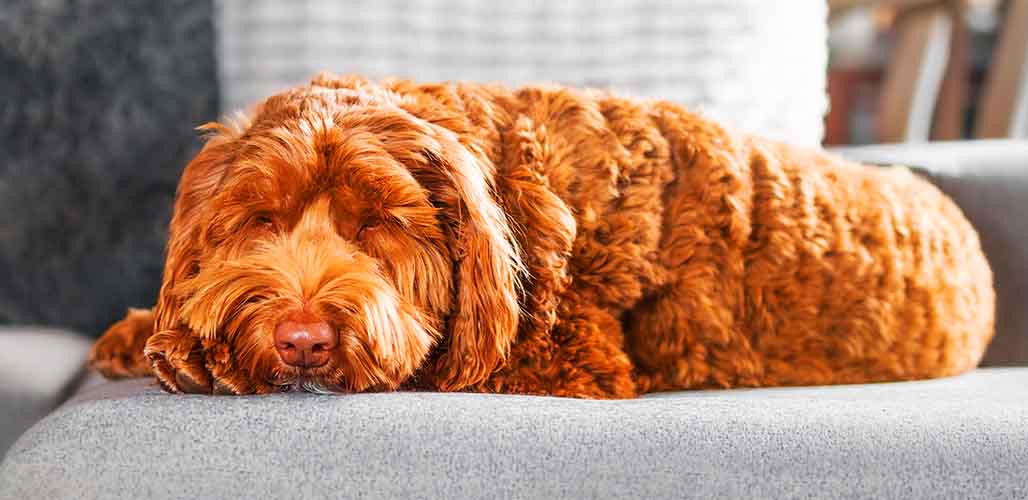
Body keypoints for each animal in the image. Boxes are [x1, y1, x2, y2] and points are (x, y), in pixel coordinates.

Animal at [90, 73, 995, 399]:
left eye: (378, 222)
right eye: (262, 218)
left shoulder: (571, 358)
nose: (302, 339)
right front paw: (147, 332)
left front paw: (189, 353)